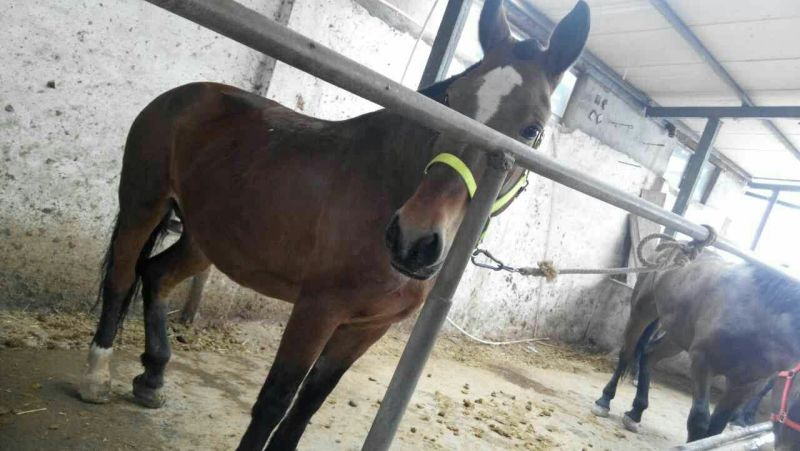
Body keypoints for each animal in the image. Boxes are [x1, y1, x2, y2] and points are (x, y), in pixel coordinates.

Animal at [77, 1, 591, 449]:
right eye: (451, 101)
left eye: (531, 130)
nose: (412, 240)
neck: (386, 183)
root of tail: (184, 95)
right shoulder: (317, 310)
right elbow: (275, 402)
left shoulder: (366, 328)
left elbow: (306, 408)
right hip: (142, 205)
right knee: (122, 278)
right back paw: (96, 376)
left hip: (206, 238)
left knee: (157, 275)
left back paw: (152, 376)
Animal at [591, 252, 800, 443]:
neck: (755, 316)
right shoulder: (702, 361)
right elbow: (699, 419)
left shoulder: (748, 384)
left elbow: (716, 427)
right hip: (641, 312)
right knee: (626, 354)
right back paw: (604, 401)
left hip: (676, 335)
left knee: (649, 356)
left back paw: (635, 412)